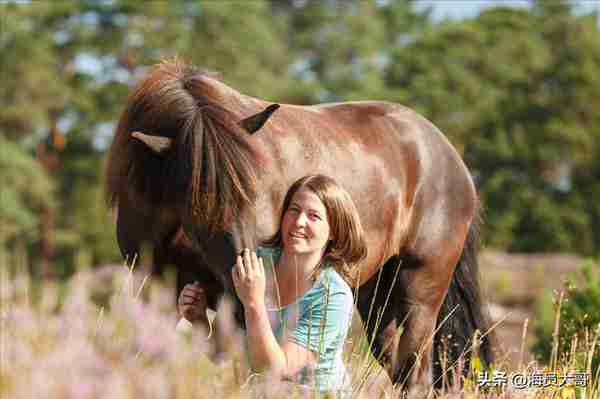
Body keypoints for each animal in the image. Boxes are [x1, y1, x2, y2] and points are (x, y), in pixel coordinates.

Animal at [105, 59, 494, 390]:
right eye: (199, 199)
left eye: (255, 189)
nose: (247, 287)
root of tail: (450, 155)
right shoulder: (156, 287)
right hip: (375, 296)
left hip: (421, 288)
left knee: (416, 371)